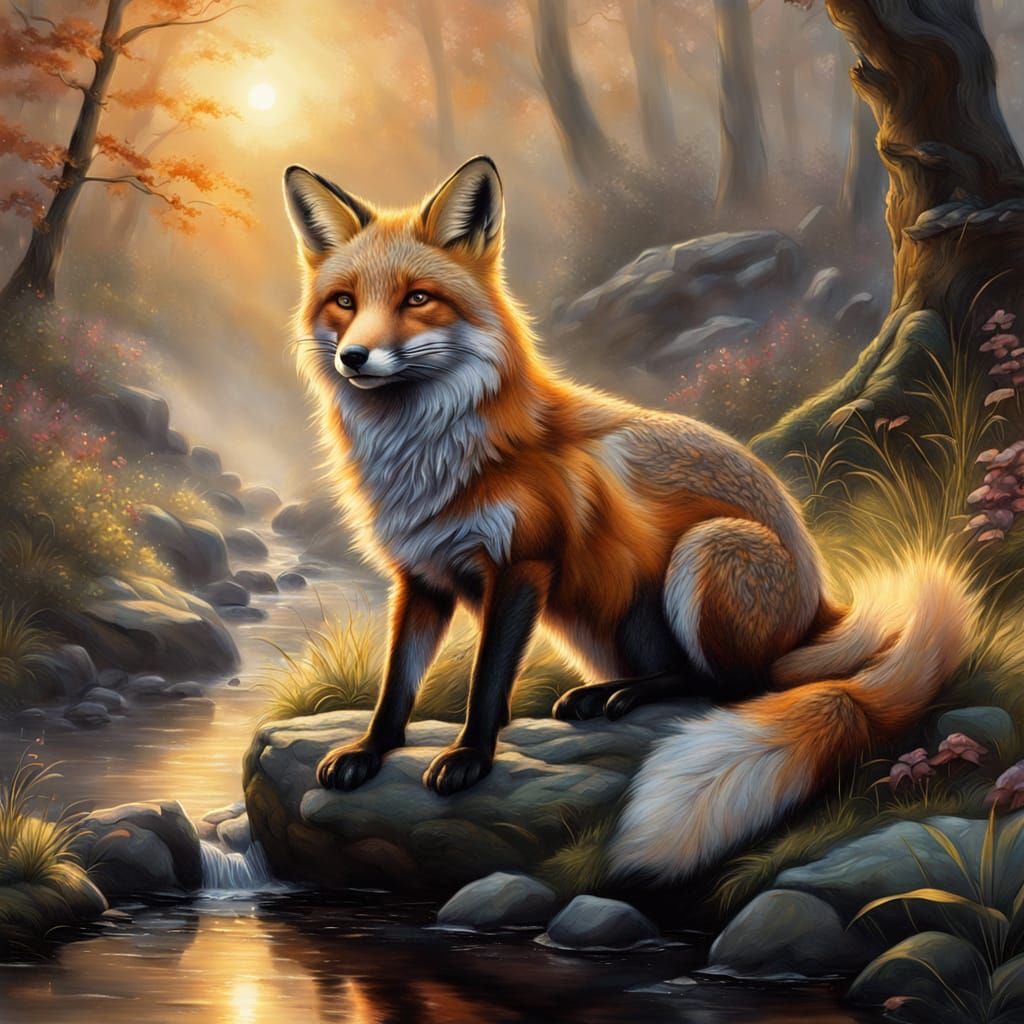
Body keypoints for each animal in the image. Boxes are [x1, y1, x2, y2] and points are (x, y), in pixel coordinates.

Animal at [282, 155, 974, 883]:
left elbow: (486, 680)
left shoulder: (523, 563)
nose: (353, 358)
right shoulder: (421, 578)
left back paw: (624, 697)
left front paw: (470, 756)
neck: (431, 460)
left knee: (732, 686)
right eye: (345, 302)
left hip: (707, 550)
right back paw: (609, 691)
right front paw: (369, 750)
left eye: (417, 299)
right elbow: (398, 685)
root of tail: (822, 604)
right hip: (600, 627)